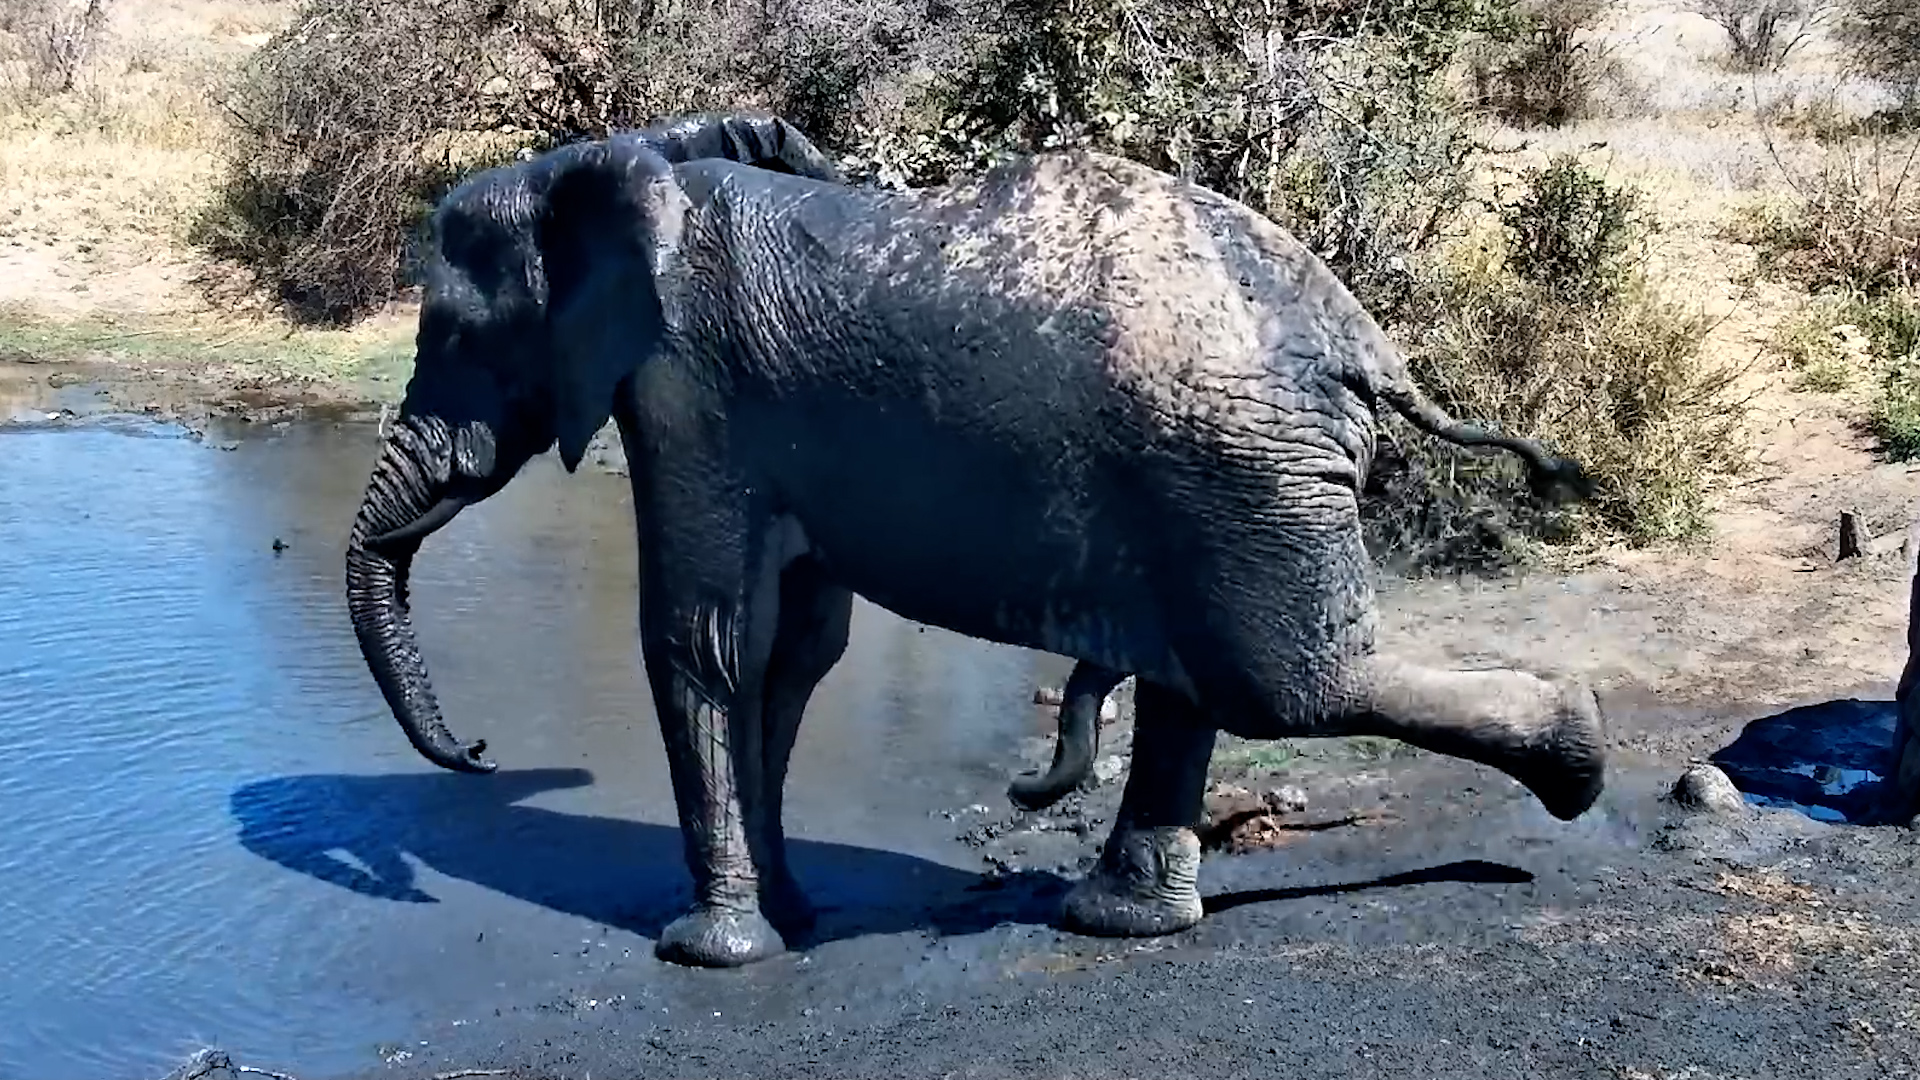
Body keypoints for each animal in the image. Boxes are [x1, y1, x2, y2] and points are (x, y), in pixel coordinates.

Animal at [343, 108, 1609, 970]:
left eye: (453, 336)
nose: (481, 753)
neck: (629, 163)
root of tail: (1363, 343)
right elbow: (788, 656)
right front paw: (785, 918)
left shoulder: (687, 395)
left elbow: (701, 642)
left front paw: (707, 949)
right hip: (1222, 474)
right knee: (1214, 679)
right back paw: (1123, 920)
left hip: (1234, 462)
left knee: (1284, 683)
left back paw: (1579, 760)